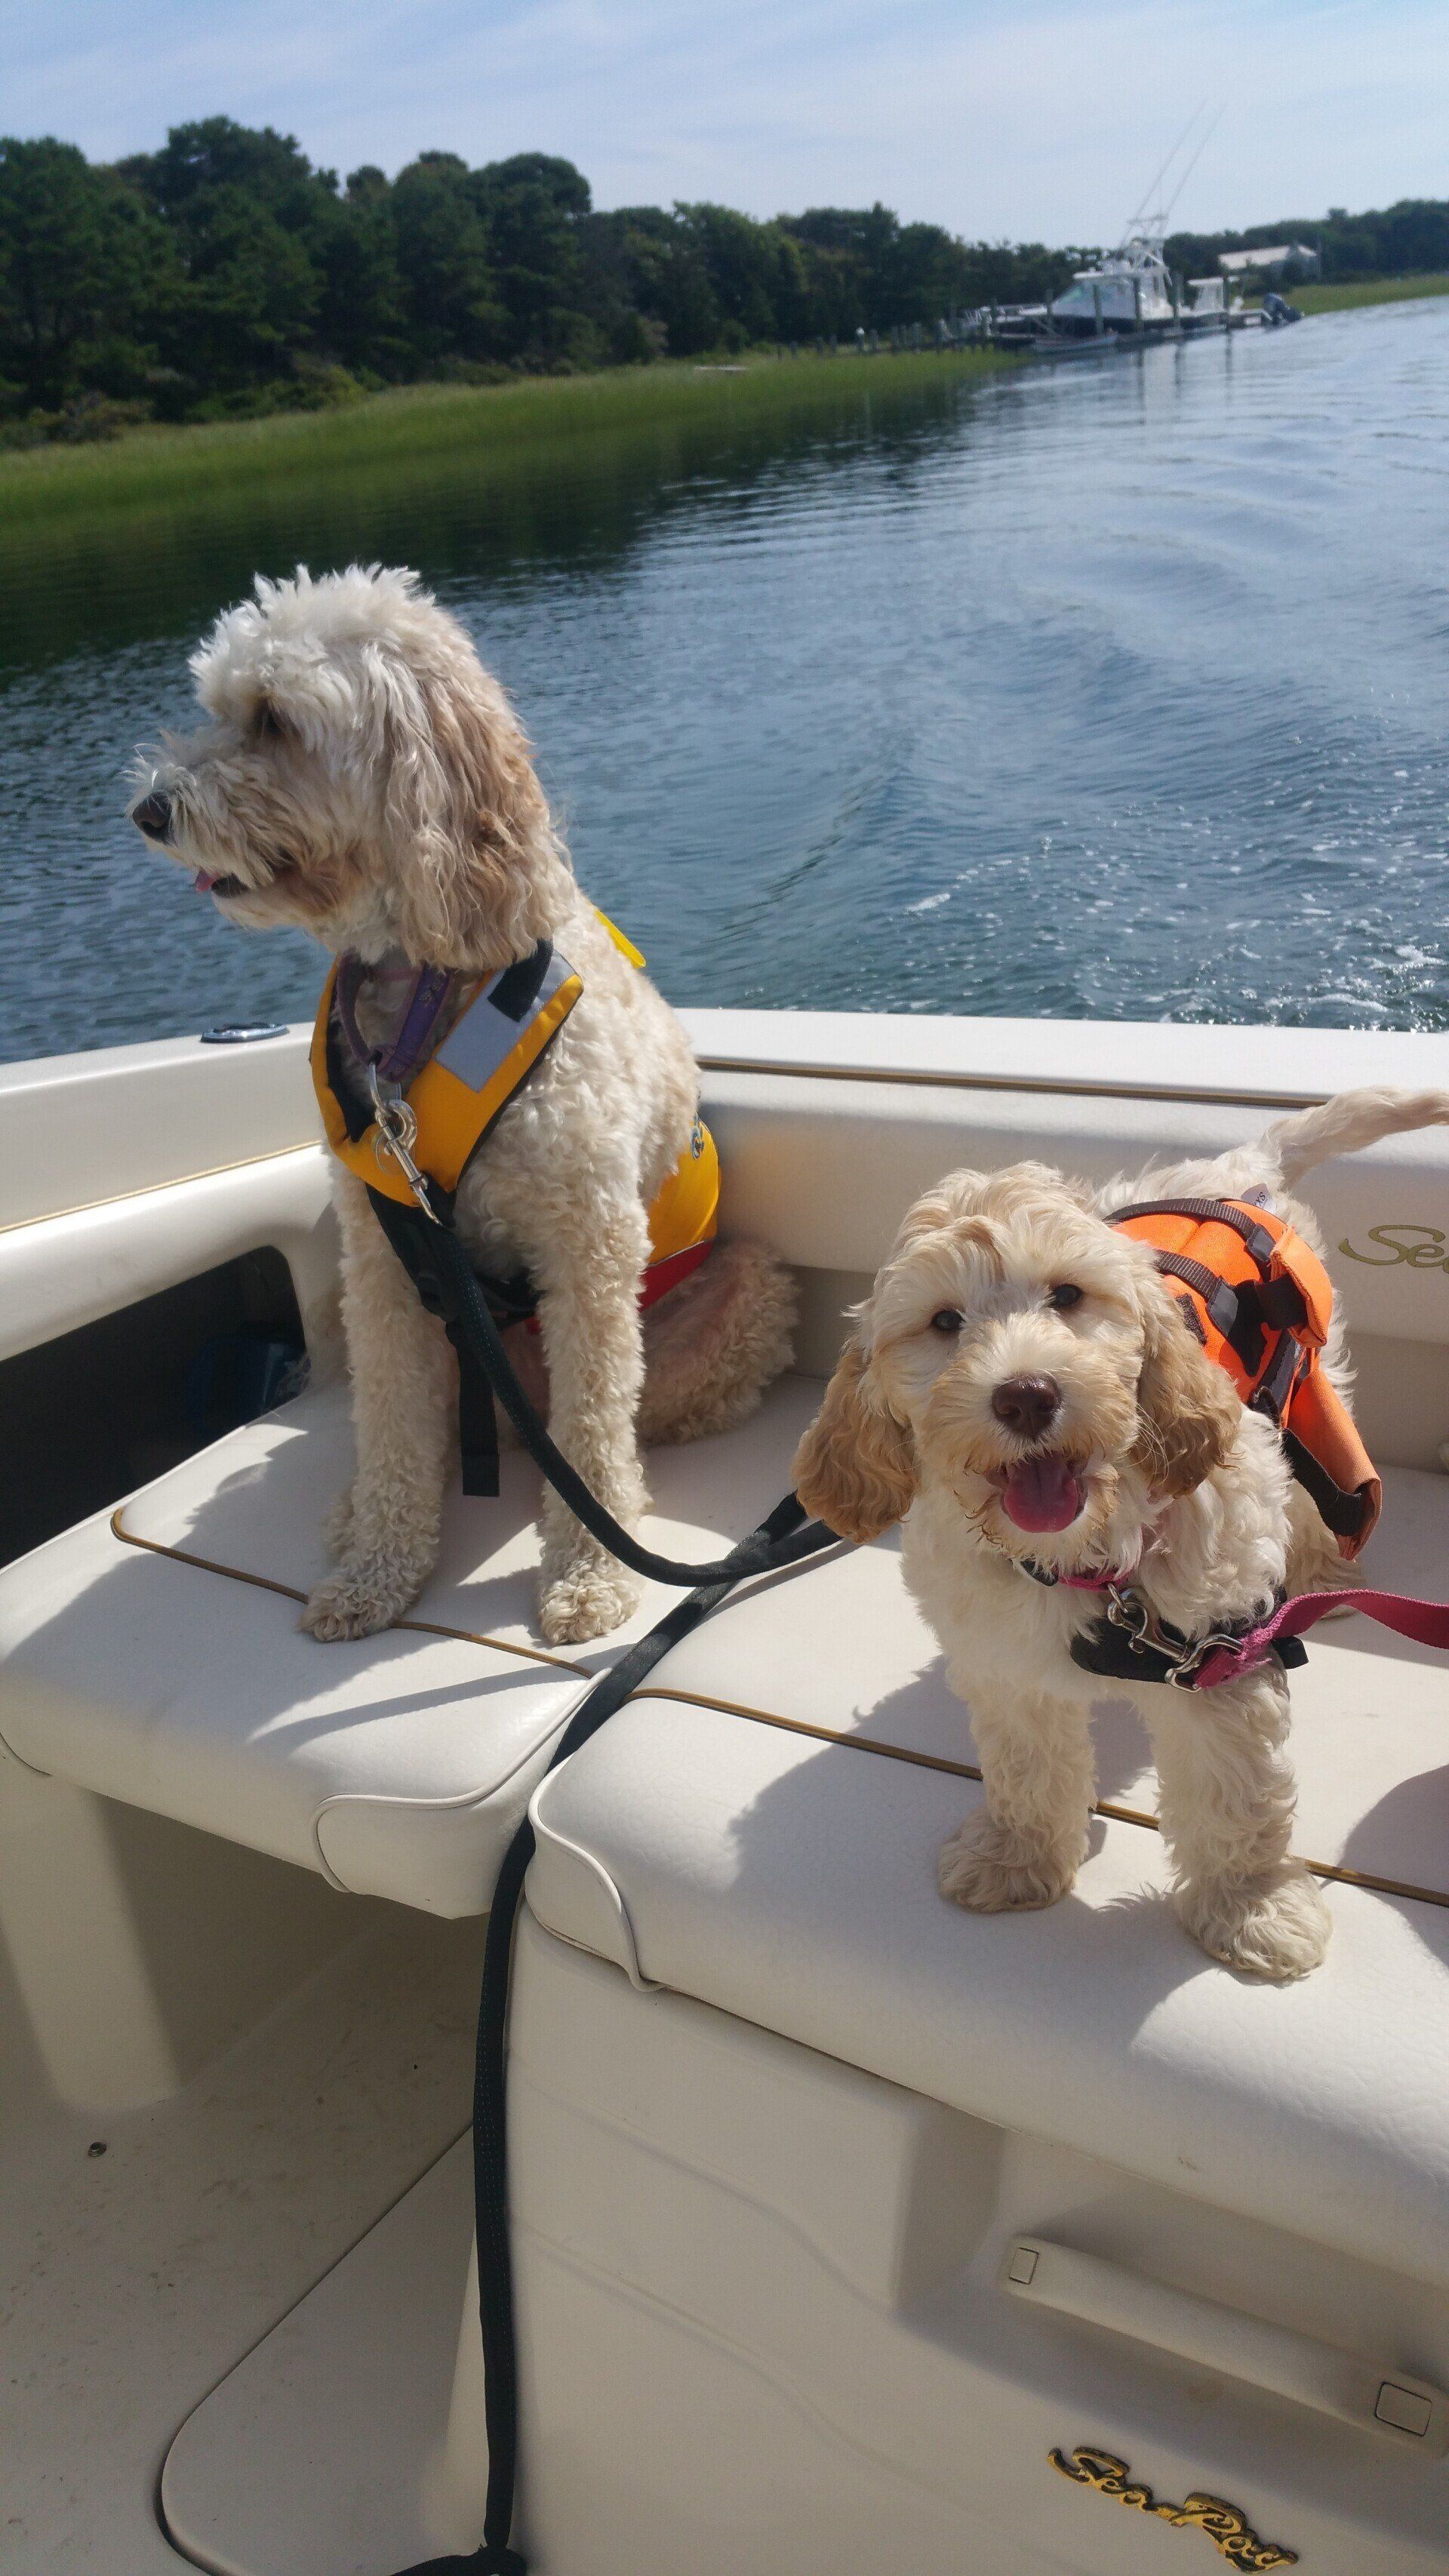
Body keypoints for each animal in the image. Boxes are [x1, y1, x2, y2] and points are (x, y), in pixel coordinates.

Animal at [131, 563, 794, 1645]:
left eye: (274, 719)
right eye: (217, 707)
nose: (150, 809)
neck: (428, 979)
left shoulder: (587, 1243)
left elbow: (593, 1424)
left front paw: (588, 1577)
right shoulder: (381, 1256)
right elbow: (395, 1430)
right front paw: (377, 1571)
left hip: (745, 1289)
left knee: (622, 1419)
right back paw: (355, 1508)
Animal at [793, 1087, 1449, 1980]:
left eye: (1068, 1296)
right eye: (944, 1320)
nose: (1026, 1394)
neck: (1085, 1558)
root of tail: (1242, 1162)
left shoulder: (1221, 1654)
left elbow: (1237, 1796)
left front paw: (1253, 1907)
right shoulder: (1008, 1662)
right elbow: (1026, 1765)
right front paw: (1018, 1857)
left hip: (1311, 1381)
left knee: (1320, 1481)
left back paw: (1323, 1572)